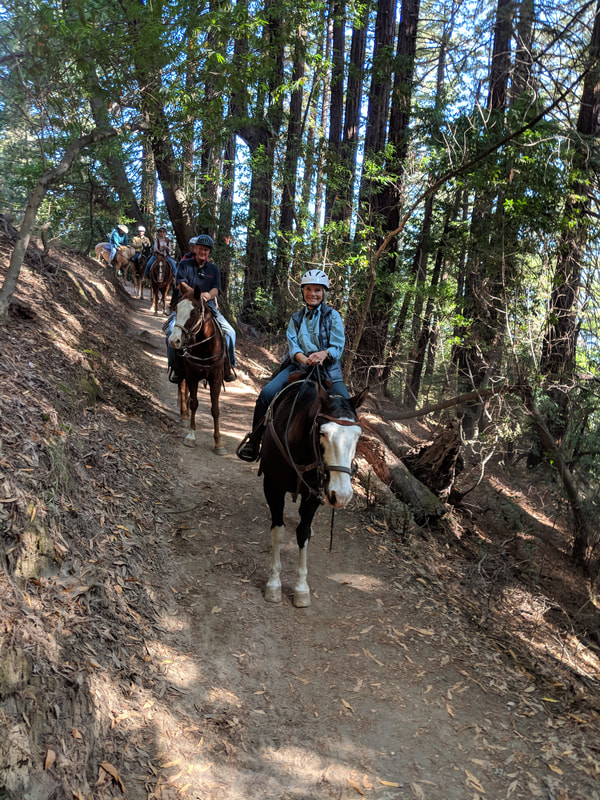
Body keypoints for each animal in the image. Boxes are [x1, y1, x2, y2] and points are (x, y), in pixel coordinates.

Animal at [168, 284, 226, 454]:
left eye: (193, 312)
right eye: (177, 308)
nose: (174, 340)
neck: (205, 347)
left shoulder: (216, 378)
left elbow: (215, 409)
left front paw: (218, 443)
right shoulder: (192, 375)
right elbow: (194, 403)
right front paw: (191, 436)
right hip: (182, 372)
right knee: (182, 388)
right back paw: (184, 415)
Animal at [258, 376, 366, 608]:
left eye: (358, 436)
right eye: (323, 433)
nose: (342, 495)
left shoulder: (314, 495)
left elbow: (303, 533)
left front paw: (301, 588)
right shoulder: (272, 487)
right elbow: (278, 531)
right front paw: (274, 584)